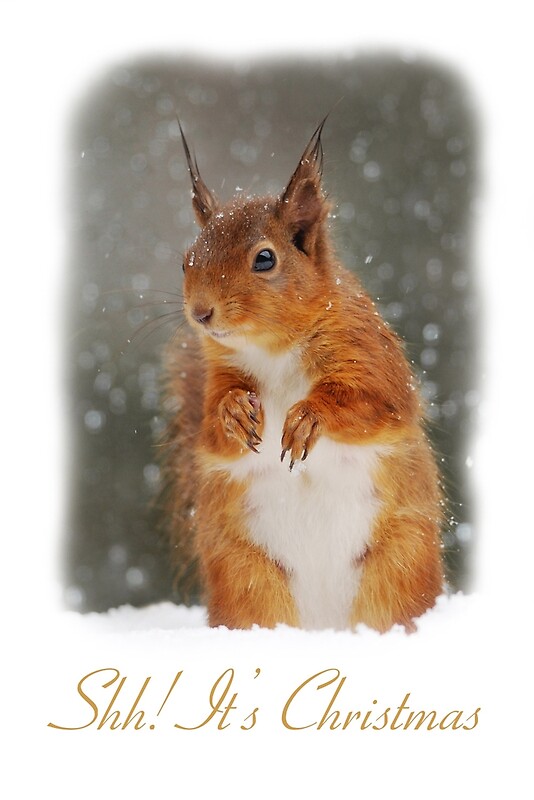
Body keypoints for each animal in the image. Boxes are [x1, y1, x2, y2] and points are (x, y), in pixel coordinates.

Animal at [160, 119, 444, 633]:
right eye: (186, 259)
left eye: (265, 259)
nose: (200, 313)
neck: (272, 349)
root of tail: (324, 624)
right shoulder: (218, 378)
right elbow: (212, 431)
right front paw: (235, 413)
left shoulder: (372, 356)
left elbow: (372, 401)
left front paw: (308, 418)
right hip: (248, 579)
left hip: (399, 565)